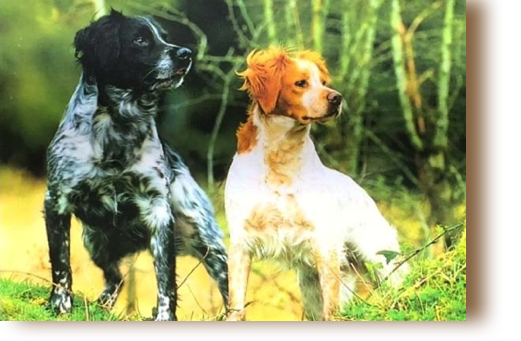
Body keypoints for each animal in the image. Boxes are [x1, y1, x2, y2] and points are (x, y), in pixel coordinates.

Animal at [45, 9, 229, 320]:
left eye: (165, 37)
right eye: (140, 40)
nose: (185, 54)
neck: (116, 125)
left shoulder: (158, 211)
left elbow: (166, 280)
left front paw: (165, 317)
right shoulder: (56, 200)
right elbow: (61, 264)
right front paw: (60, 305)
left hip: (208, 242)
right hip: (96, 242)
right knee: (116, 278)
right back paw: (100, 305)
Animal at [223, 47, 406, 318]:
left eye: (324, 82)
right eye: (301, 83)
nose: (337, 98)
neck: (280, 159)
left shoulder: (324, 243)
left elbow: (331, 307)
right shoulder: (241, 243)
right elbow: (236, 304)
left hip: (380, 258)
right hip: (311, 281)